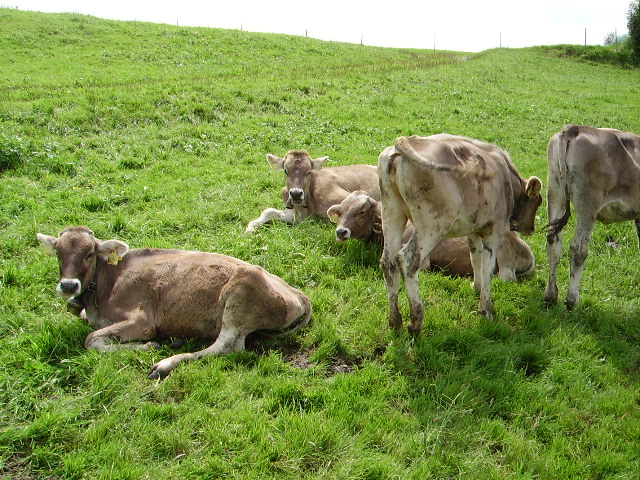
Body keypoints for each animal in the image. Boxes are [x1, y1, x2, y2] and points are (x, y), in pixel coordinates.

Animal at [37, 226, 312, 378]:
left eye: (89, 253)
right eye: (58, 253)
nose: (68, 285)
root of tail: (295, 291)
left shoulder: (141, 320)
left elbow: (91, 339)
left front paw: (148, 346)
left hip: (239, 295)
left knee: (225, 347)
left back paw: (164, 364)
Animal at [378, 133, 544, 332]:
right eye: (538, 201)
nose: (531, 228)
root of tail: (408, 141)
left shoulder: (473, 230)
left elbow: (475, 258)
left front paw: (476, 287)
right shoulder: (494, 231)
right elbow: (488, 267)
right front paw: (486, 310)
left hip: (392, 213)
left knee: (388, 262)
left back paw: (395, 321)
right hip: (431, 224)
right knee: (407, 260)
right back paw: (415, 322)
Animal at [544, 125, 640, 310]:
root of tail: (573, 128)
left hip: (555, 190)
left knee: (554, 243)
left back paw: (550, 296)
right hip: (588, 203)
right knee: (578, 249)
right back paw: (572, 300)